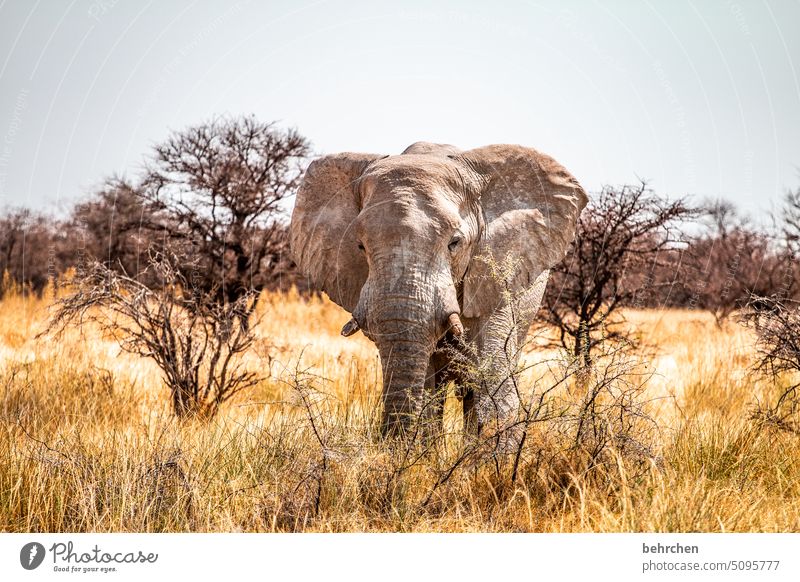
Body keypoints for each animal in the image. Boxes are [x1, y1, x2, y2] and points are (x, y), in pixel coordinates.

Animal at [290, 144, 588, 444]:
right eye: (360, 246)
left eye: (454, 243)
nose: (387, 442)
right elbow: (429, 385)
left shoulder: (497, 276)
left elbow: (493, 370)